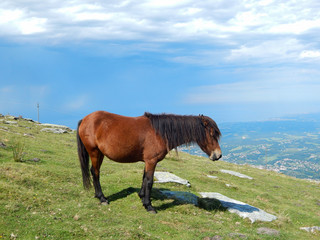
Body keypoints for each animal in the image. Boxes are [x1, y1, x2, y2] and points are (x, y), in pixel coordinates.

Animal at [77, 110, 221, 214]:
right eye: (211, 134)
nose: (218, 155)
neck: (160, 133)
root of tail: (85, 119)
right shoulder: (152, 161)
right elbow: (150, 181)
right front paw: (149, 206)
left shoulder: (147, 161)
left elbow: (144, 178)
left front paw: (142, 197)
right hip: (94, 152)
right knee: (95, 172)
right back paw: (102, 198)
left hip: (100, 153)